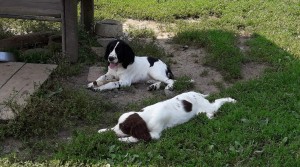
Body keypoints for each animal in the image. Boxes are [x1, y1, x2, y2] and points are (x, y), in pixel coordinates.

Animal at [97, 90, 236, 143]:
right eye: (118, 124)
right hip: (201, 111)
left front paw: (120, 140)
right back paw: (210, 116)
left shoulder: (154, 134)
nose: (116, 132)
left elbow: (135, 137)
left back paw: (232, 100)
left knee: (217, 101)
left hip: (206, 106)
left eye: (123, 127)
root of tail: (196, 93)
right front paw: (103, 131)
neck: (146, 116)